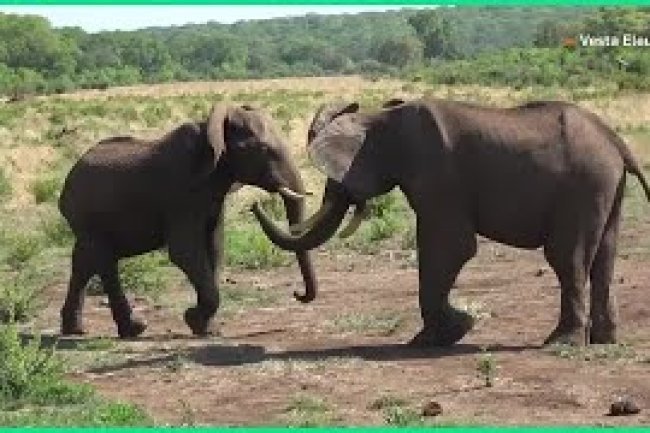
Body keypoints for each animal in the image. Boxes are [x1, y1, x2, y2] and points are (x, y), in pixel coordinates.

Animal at [59, 103, 317, 338]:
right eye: (264, 150)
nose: (298, 294)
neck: (212, 131)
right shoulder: (181, 194)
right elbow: (185, 251)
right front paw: (193, 318)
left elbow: (214, 248)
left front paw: (206, 328)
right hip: (88, 214)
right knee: (102, 259)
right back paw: (131, 329)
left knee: (85, 260)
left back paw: (78, 330)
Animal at [251, 98, 650, 347]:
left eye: (334, 181)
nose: (255, 204)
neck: (381, 118)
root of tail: (615, 140)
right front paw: (455, 329)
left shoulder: (436, 176)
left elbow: (449, 246)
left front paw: (442, 336)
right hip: (604, 184)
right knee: (604, 257)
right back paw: (603, 341)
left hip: (584, 183)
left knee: (568, 257)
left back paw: (561, 343)